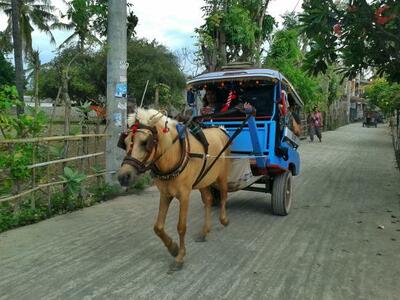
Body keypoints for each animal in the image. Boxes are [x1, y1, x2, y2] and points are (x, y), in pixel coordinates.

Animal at [117, 108, 231, 272]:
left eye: (145, 143)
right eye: (125, 143)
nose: (123, 177)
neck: (173, 156)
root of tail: (220, 129)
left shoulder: (184, 195)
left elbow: (181, 227)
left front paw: (180, 257)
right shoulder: (165, 194)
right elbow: (158, 227)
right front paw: (173, 248)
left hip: (221, 175)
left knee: (223, 196)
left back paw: (224, 220)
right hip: (203, 179)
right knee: (208, 200)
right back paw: (205, 231)